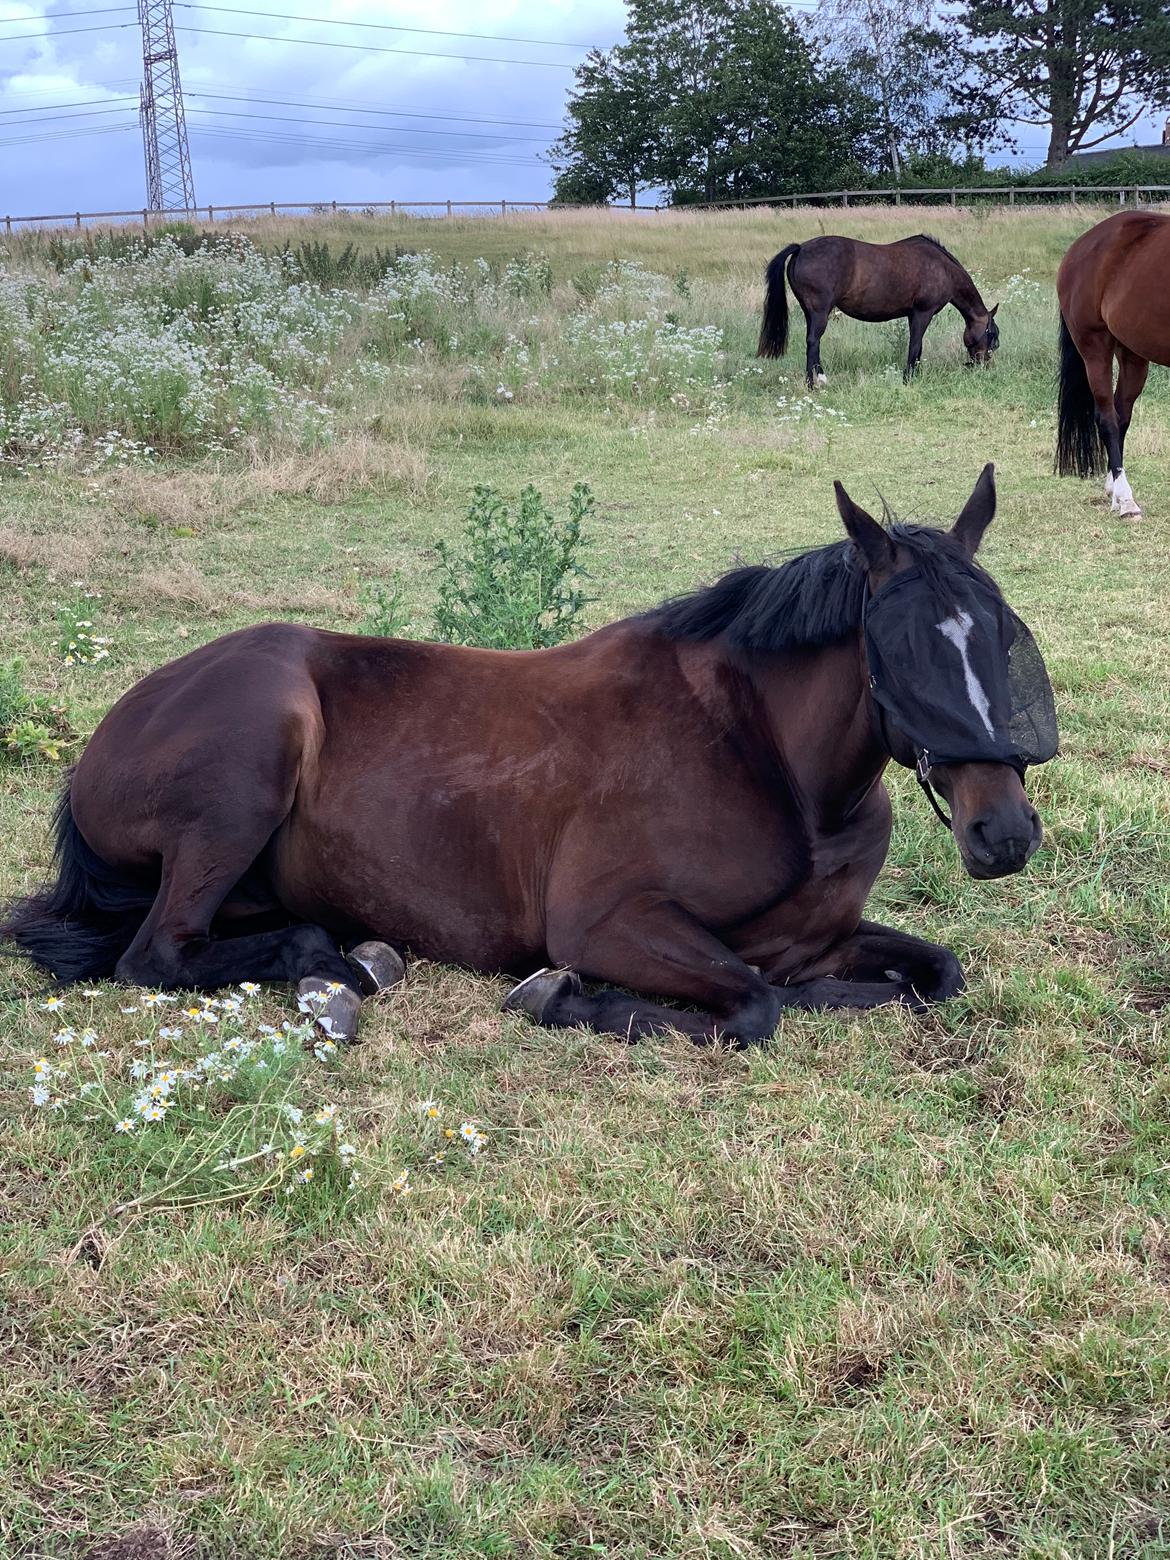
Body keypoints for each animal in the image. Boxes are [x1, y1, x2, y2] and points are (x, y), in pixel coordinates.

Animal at [0, 461, 1060, 1048]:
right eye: (904, 652)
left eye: (1002, 634)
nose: (1003, 833)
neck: (771, 768)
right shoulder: (607, 924)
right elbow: (756, 1007)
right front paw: (558, 999)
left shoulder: (824, 937)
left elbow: (931, 975)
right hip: (247, 770)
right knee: (158, 954)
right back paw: (337, 968)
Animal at [764, 233, 1004, 386]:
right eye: (992, 335)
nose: (983, 366)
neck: (943, 268)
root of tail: (801, 248)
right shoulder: (922, 313)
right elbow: (915, 345)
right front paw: (908, 379)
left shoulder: (912, 315)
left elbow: (917, 348)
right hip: (820, 313)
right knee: (813, 342)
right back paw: (813, 384)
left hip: (809, 313)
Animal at [1054, 209, 1170, 517]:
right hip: (1095, 348)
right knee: (1107, 418)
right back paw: (1126, 500)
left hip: (1132, 354)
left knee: (1121, 415)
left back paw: (1113, 489)